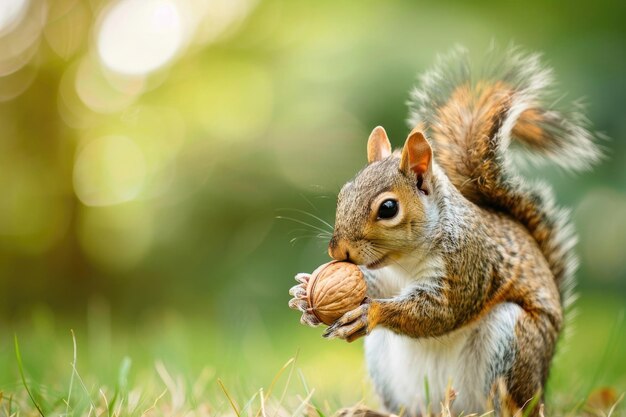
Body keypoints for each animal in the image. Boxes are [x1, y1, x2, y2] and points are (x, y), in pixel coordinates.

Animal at [288, 46, 600, 416]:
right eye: (343, 193)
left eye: (388, 208)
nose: (337, 251)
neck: (404, 261)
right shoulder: (387, 278)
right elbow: (371, 285)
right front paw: (304, 293)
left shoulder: (468, 264)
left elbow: (440, 312)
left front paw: (372, 312)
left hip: (515, 345)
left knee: (513, 403)